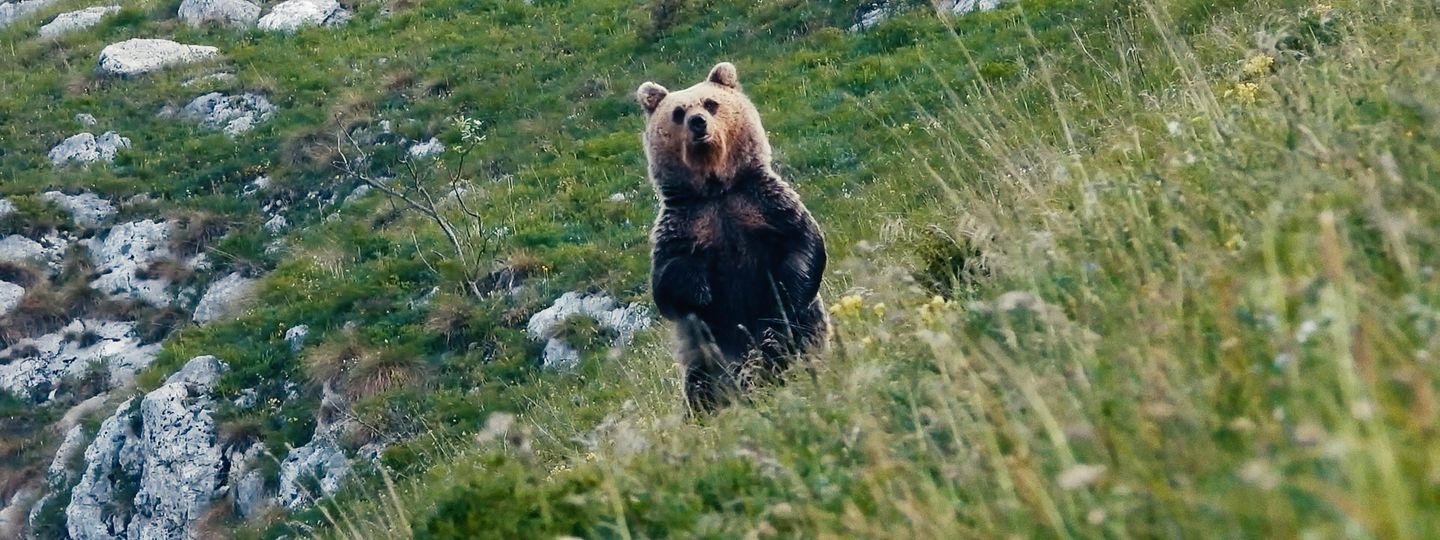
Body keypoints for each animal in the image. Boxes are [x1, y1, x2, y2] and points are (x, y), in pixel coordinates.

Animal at [636, 61, 829, 411]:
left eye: (711, 103)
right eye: (679, 112)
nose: (698, 122)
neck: (716, 190)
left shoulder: (762, 204)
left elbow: (803, 244)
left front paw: (785, 292)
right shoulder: (685, 223)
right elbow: (667, 285)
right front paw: (700, 289)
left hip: (808, 332)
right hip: (705, 358)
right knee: (703, 387)